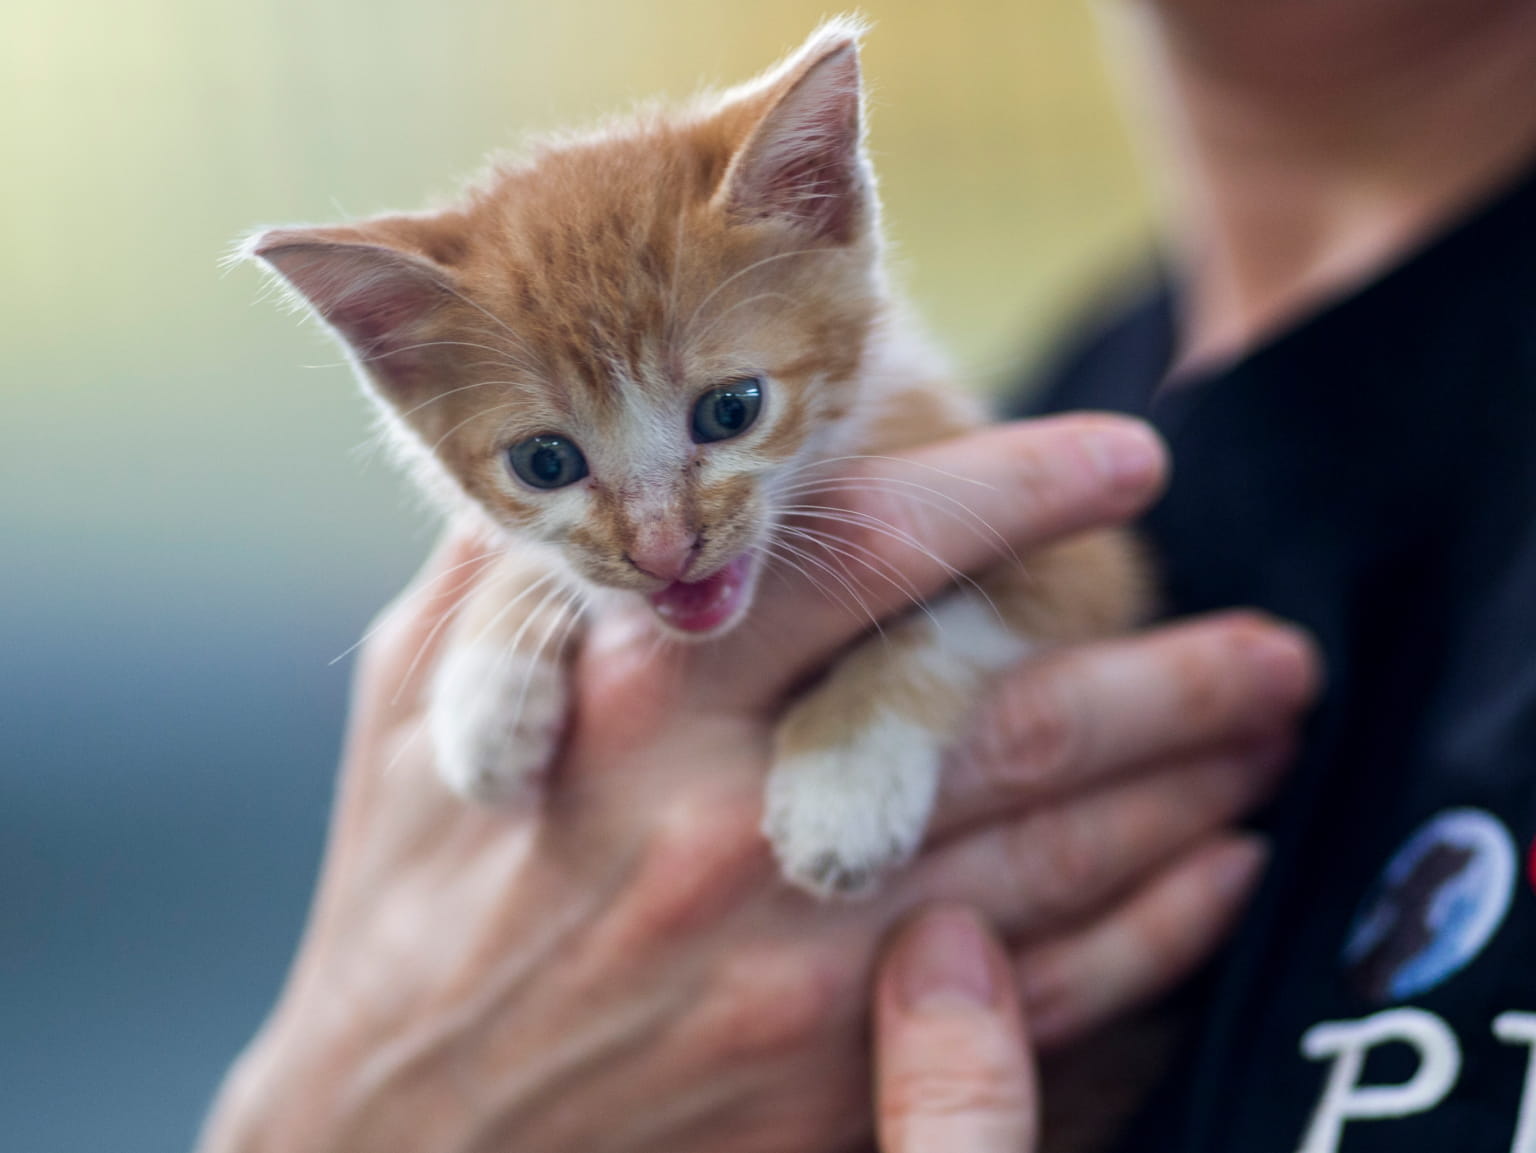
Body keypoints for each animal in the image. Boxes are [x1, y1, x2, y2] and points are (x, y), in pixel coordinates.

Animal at [245, 20, 1148, 902]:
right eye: (545, 462)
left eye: (731, 409)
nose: (662, 548)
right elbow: (540, 566)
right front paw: (486, 692)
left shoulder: (1082, 560)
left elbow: (938, 633)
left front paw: (843, 785)